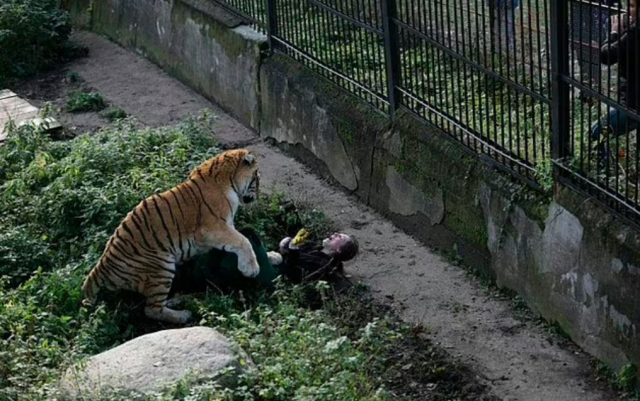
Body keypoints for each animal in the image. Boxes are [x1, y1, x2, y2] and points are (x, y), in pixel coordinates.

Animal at [82, 148, 260, 324]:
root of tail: (102, 265)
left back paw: (175, 300)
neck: (229, 179)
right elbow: (243, 241)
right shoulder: (212, 228)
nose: (258, 196)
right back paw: (183, 315)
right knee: (151, 309)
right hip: (162, 267)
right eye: (257, 177)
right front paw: (251, 269)